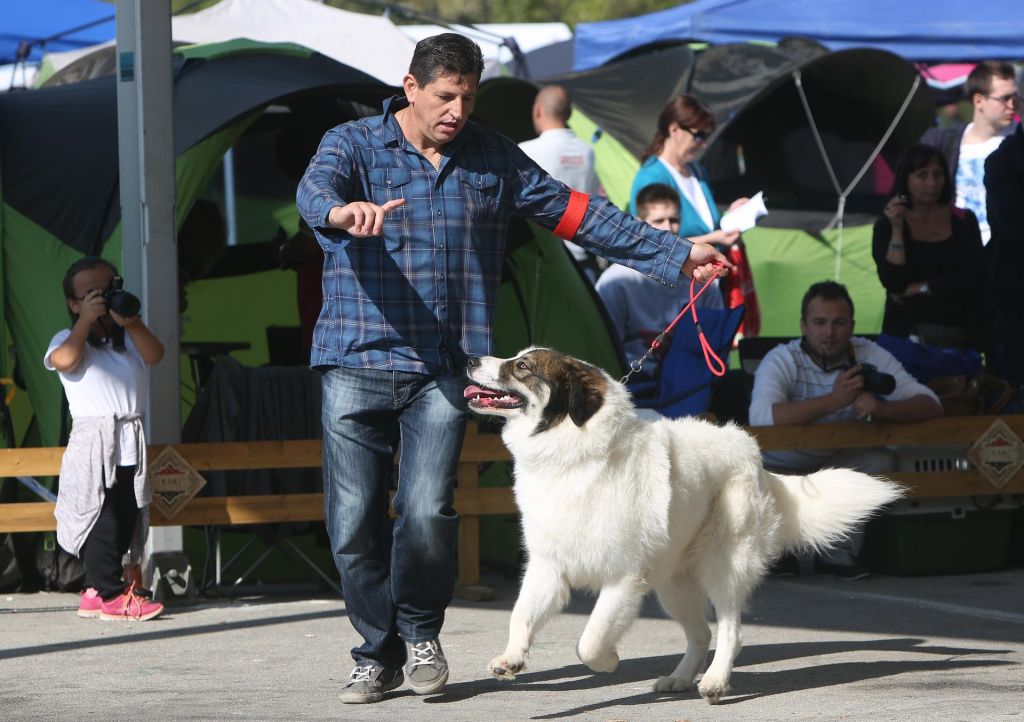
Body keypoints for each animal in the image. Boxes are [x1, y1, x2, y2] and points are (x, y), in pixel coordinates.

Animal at [466, 348, 905, 704]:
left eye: (522, 367)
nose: (469, 358)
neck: (573, 453)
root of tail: (755, 457)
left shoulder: (624, 579)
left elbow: (589, 640)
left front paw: (608, 662)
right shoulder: (548, 567)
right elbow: (521, 614)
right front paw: (511, 658)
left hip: (724, 565)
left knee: (729, 629)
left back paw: (714, 682)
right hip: (671, 581)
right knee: (700, 634)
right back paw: (679, 679)